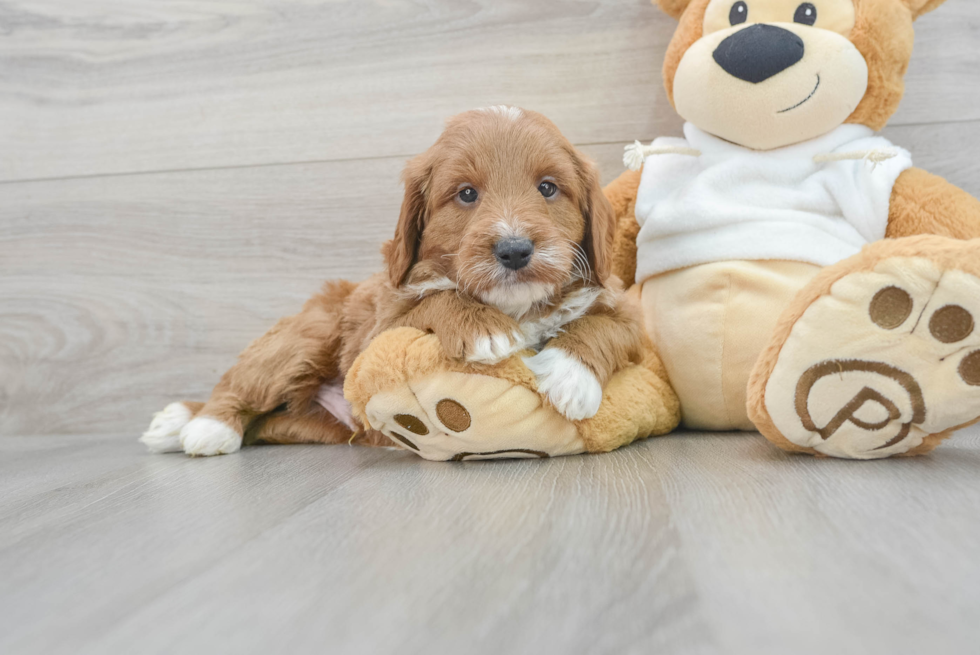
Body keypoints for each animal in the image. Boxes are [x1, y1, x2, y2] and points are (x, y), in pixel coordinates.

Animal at [138, 107, 644, 456]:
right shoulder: (380, 326)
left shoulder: (622, 304)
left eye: (548, 188)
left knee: (269, 421)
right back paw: (201, 426)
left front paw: (569, 375)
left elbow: (608, 326)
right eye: (466, 194)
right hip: (304, 338)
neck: (517, 305)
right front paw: (484, 328)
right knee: (239, 385)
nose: (515, 249)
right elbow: (431, 297)